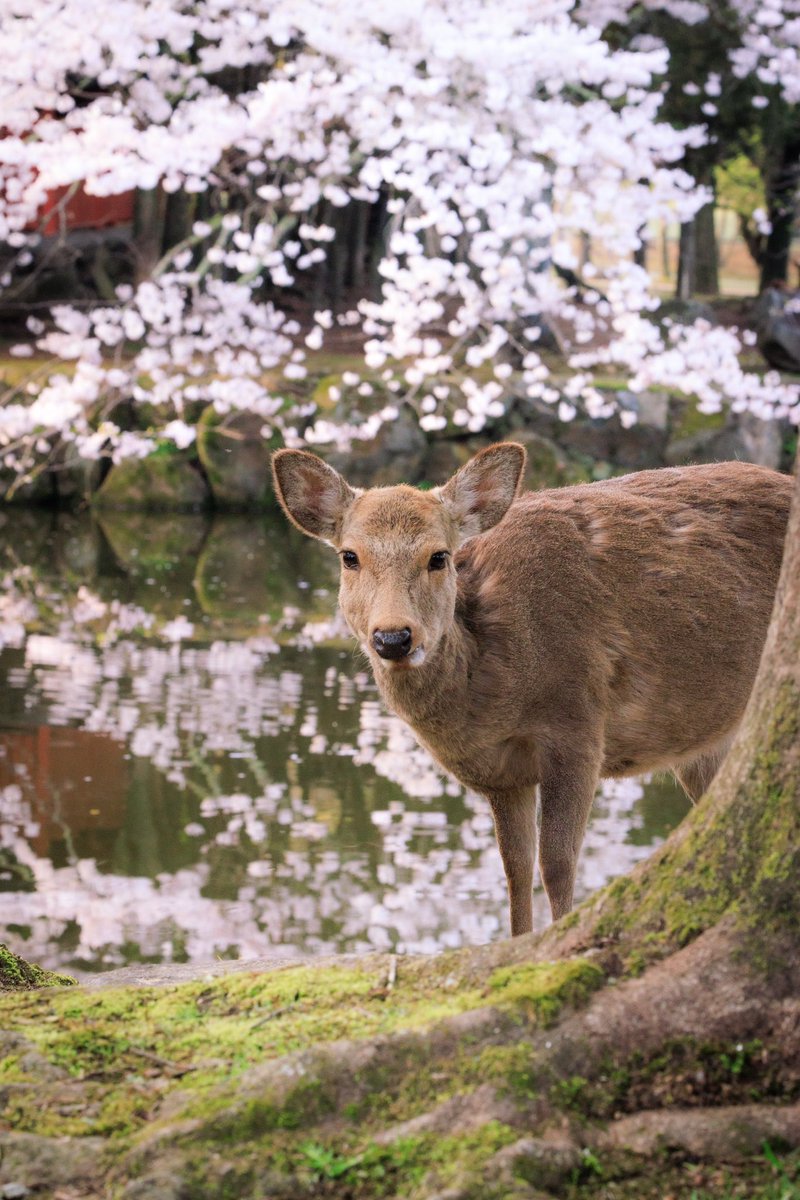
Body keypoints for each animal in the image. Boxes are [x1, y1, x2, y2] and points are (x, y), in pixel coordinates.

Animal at [271, 444, 796, 936]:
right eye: (349, 556)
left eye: (439, 556)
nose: (394, 638)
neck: (494, 691)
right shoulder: (502, 773)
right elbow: (514, 869)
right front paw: (515, 943)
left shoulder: (578, 724)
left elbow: (557, 864)